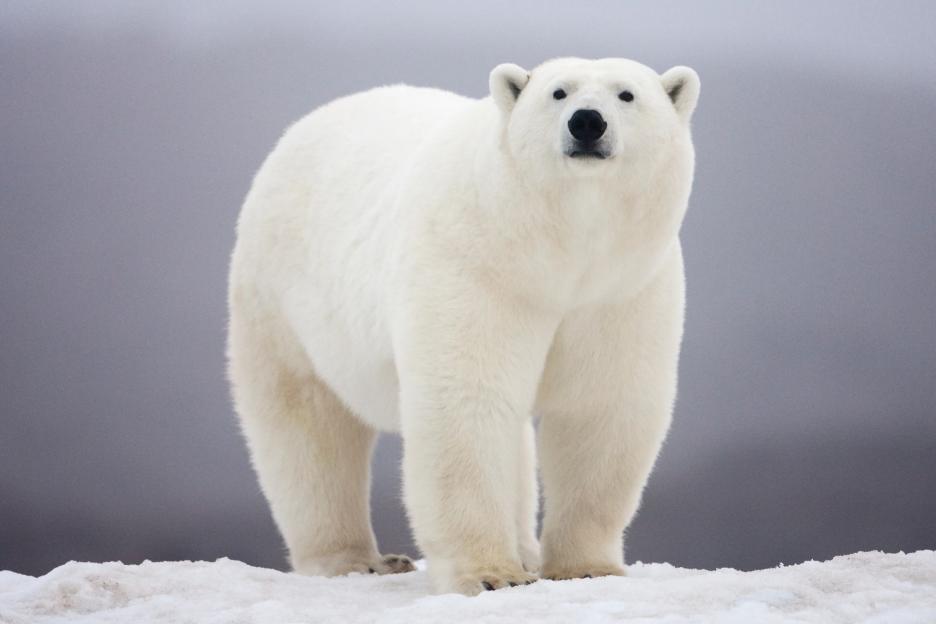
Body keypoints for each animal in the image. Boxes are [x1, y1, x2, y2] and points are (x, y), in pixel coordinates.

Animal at [227, 57, 700, 595]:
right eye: (558, 92)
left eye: (626, 94)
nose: (587, 122)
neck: (559, 252)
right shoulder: (476, 262)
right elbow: (469, 400)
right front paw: (491, 575)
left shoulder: (621, 288)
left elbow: (598, 407)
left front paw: (585, 567)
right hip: (282, 295)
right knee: (306, 422)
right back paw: (355, 559)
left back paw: (525, 550)